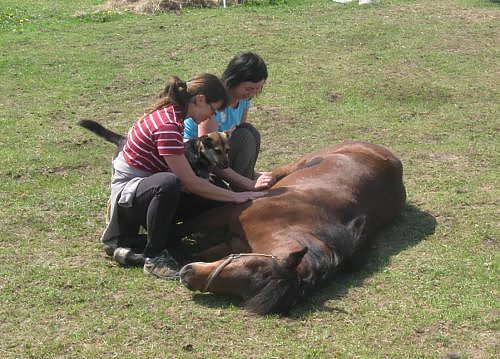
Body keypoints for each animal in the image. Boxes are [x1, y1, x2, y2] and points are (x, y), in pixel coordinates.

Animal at [176, 141, 406, 316]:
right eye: (253, 265)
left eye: (242, 294)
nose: (187, 275)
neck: (286, 220)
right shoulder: (226, 212)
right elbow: (186, 226)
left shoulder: (233, 241)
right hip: (299, 163)